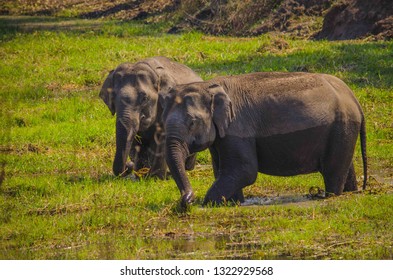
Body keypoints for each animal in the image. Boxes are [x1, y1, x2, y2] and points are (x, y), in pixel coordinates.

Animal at [160, 71, 368, 207]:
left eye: (192, 122)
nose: (185, 202)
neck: (209, 85)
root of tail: (354, 98)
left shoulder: (238, 129)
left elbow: (245, 170)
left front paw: (207, 203)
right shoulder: (223, 136)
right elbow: (221, 169)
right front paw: (234, 202)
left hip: (341, 126)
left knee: (333, 171)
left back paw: (329, 196)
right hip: (343, 131)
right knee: (345, 167)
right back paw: (351, 191)